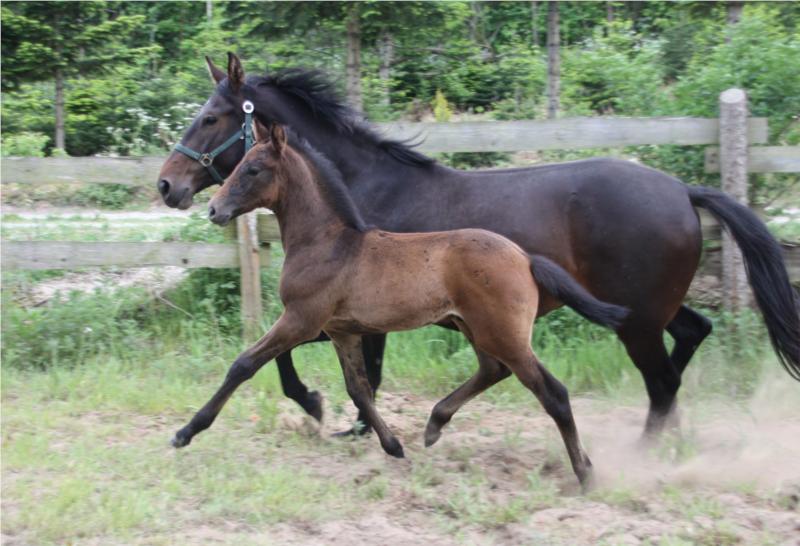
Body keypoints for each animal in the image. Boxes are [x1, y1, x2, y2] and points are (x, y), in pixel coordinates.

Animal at [158, 53, 800, 438]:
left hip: (638, 319)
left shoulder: (353, 313)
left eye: (212, 118)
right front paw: (350, 422)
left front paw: (325, 411)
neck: (363, 190)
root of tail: (683, 189)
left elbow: (323, 367)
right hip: (648, 308)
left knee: (663, 379)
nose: (168, 185)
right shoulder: (354, 315)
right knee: (692, 336)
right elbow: (336, 369)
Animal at [175, 120, 632, 484]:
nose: (214, 209)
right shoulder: (341, 331)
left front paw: (185, 432)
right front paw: (392, 445)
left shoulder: (302, 319)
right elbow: (359, 389)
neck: (328, 243)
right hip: (475, 328)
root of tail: (525, 258)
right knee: (492, 370)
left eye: (252, 169)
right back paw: (434, 425)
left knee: (552, 392)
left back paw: (585, 473)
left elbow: (244, 364)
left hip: (503, 334)